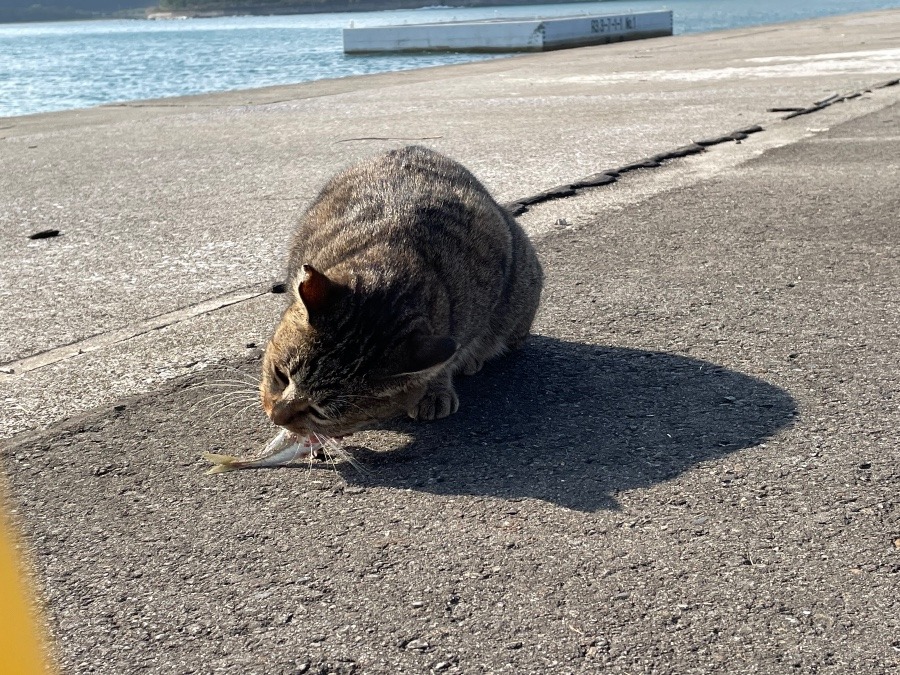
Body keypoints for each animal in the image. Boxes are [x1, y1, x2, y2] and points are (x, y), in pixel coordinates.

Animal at [260, 146, 540, 440]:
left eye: (320, 412)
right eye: (280, 375)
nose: (275, 416)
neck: (397, 253)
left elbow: (445, 362)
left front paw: (435, 389)